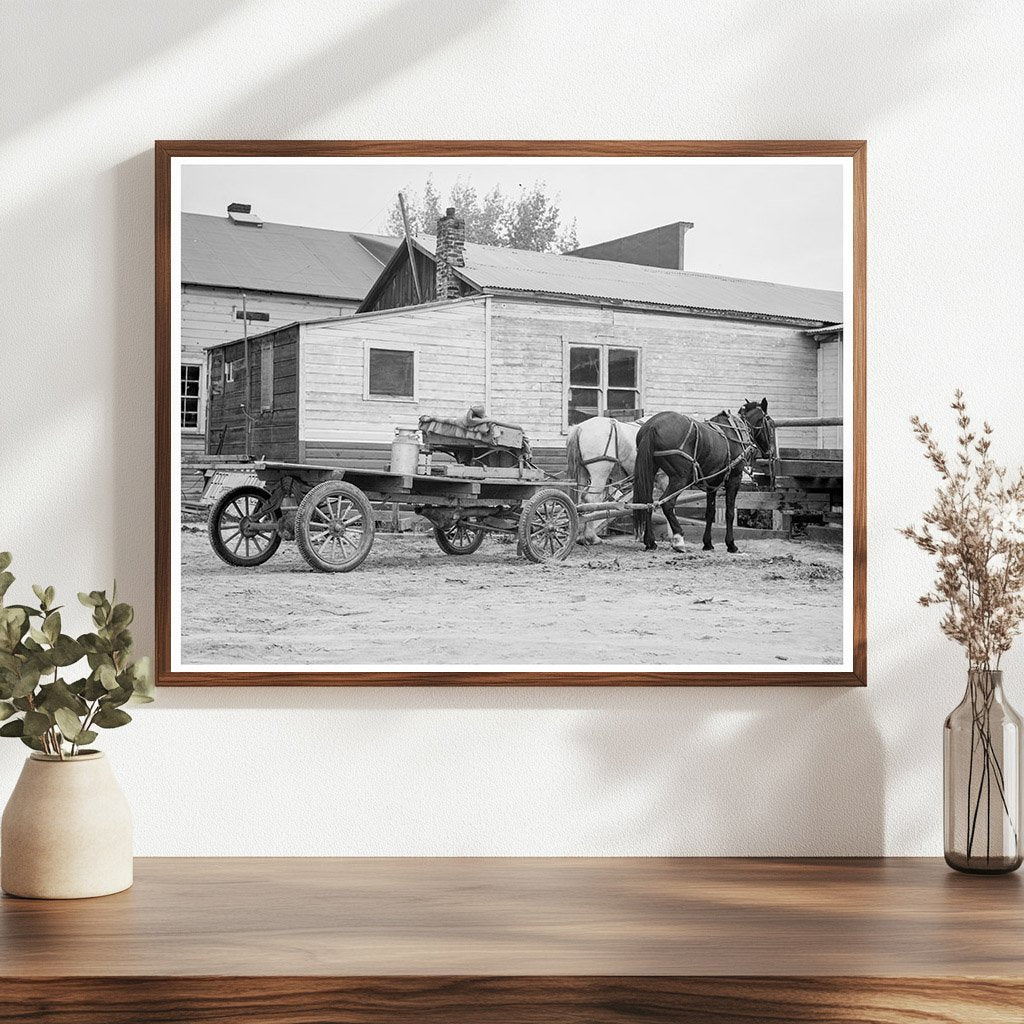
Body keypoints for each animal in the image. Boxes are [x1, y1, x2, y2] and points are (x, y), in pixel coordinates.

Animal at [569, 413, 671, 548]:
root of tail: (579, 428)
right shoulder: (665, 478)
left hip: (582, 473)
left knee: (581, 502)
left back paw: (581, 536)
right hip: (599, 473)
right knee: (591, 499)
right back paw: (591, 537)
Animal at [630, 399, 774, 557]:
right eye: (771, 423)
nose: (770, 452)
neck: (736, 432)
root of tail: (652, 426)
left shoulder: (712, 483)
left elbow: (710, 513)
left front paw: (708, 543)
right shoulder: (734, 479)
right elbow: (729, 513)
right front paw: (731, 544)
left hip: (651, 471)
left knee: (648, 503)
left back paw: (650, 541)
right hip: (681, 477)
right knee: (667, 503)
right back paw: (678, 540)